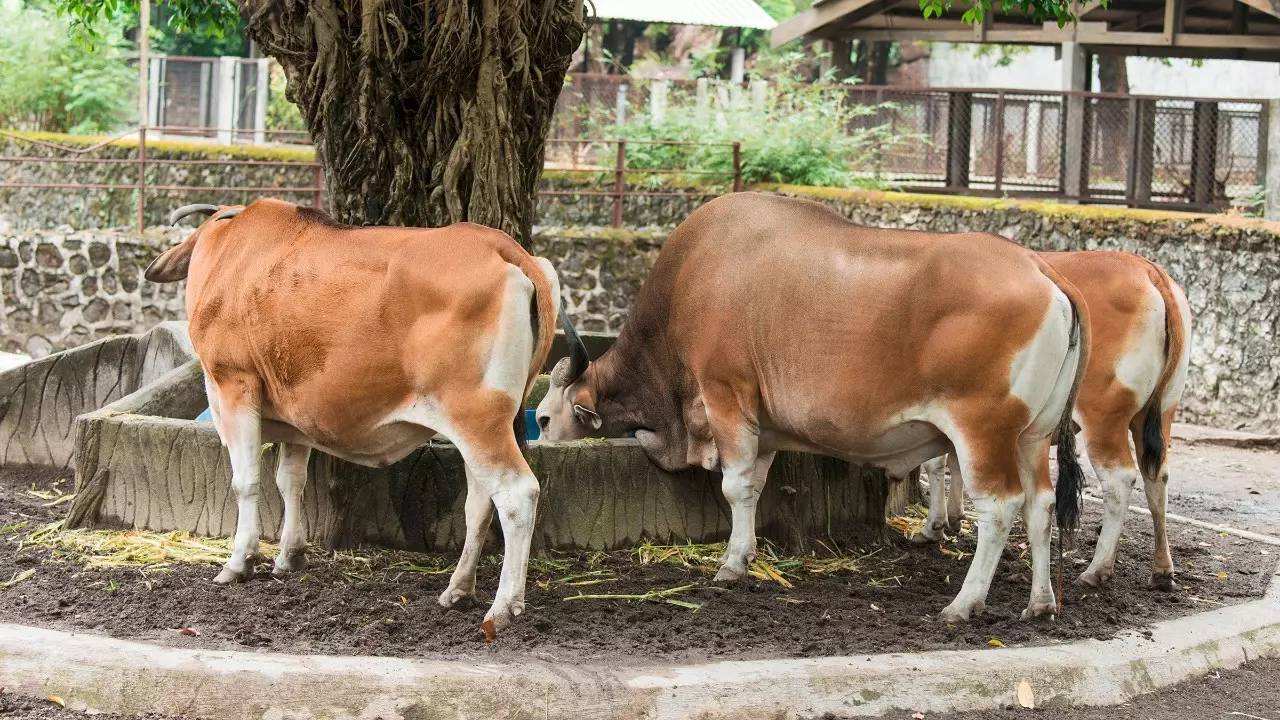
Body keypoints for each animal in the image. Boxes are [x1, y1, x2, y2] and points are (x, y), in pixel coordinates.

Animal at [145, 198, 560, 630]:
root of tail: (503, 247)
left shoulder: (233, 385)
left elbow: (246, 483)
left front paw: (239, 562)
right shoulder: (294, 417)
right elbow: (289, 481)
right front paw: (289, 557)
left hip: (478, 419)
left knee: (516, 494)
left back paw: (503, 606)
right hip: (480, 425)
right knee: (479, 502)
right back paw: (458, 589)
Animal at [537, 193, 1090, 620]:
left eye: (542, 418)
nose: (536, 432)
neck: (691, 279)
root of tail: (1043, 269)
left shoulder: (726, 396)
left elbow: (734, 486)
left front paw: (730, 565)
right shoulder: (760, 425)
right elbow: (753, 487)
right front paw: (745, 554)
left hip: (983, 432)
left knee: (999, 509)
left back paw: (963, 603)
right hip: (1033, 437)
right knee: (1040, 506)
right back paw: (1041, 602)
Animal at [916, 252, 1182, 589]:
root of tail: (1149, 269)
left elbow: (935, 463)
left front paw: (933, 526)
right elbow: (953, 462)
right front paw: (953, 516)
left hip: (1104, 418)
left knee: (1120, 480)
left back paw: (1097, 569)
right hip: (1160, 413)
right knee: (1156, 475)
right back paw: (1162, 569)